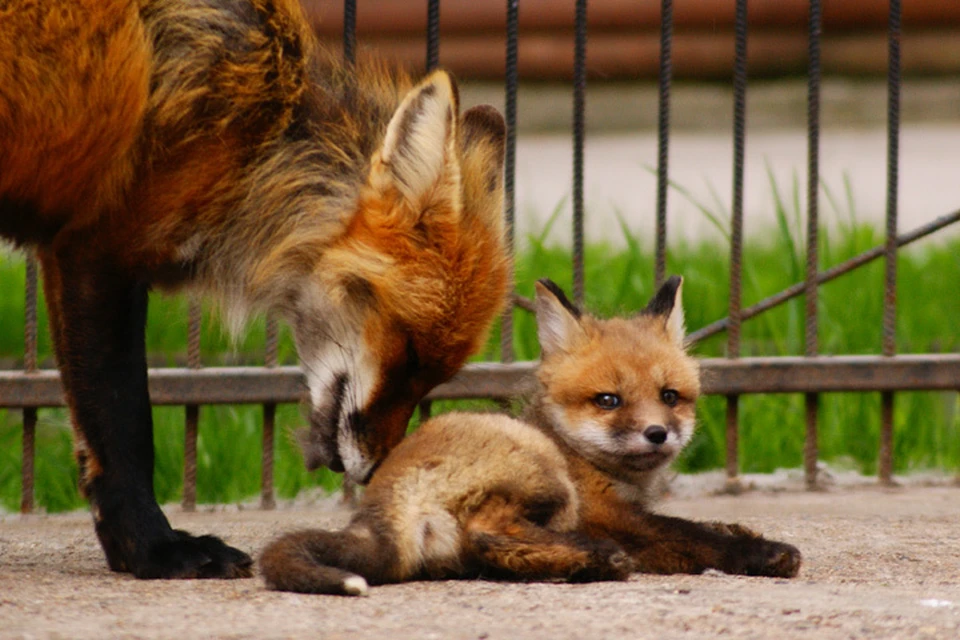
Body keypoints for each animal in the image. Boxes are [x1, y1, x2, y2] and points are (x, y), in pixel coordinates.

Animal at [0, 0, 510, 580]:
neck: (253, 136)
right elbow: (123, 426)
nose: (378, 471)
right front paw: (153, 550)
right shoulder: (95, 251)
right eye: (409, 355)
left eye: (436, 375)